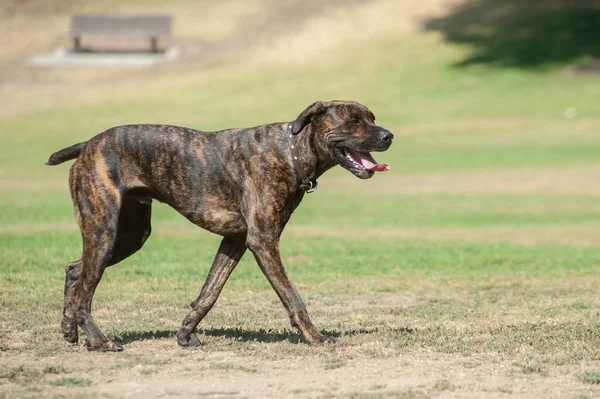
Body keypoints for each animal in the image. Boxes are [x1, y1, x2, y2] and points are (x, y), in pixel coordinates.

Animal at [47, 101, 394, 352]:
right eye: (354, 121)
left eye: (372, 118)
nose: (389, 136)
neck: (290, 151)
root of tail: (88, 145)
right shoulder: (263, 241)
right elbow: (292, 296)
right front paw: (315, 337)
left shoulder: (235, 240)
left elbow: (209, 292)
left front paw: (185, 333)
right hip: (105, 230)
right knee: (85, 291)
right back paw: (98, 342)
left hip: (129, 235)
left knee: (74, 270)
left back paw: (69, 330)